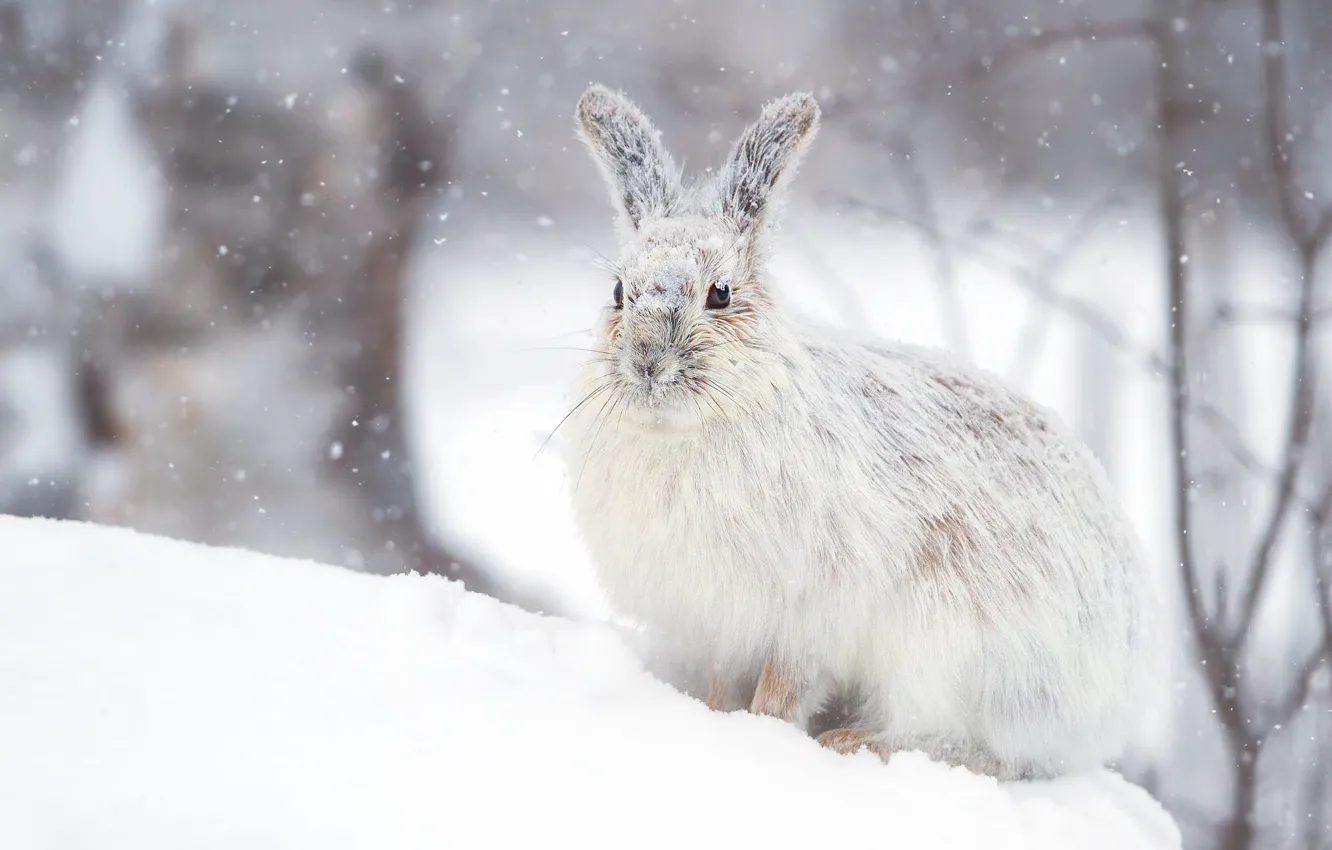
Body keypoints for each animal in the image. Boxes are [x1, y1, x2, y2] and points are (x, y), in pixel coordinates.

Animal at [561, 84, 1163, 781]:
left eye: (721, 293)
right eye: (618, 291)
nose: (647, 364)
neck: (685, 431)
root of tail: (1124, 684)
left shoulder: (808, 615)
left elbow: (782, 690)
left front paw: (763, 736)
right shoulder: (723, 622)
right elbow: (722, 682)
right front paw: (714, 719)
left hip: (947, 647)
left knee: (975, 749)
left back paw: (851, 743)